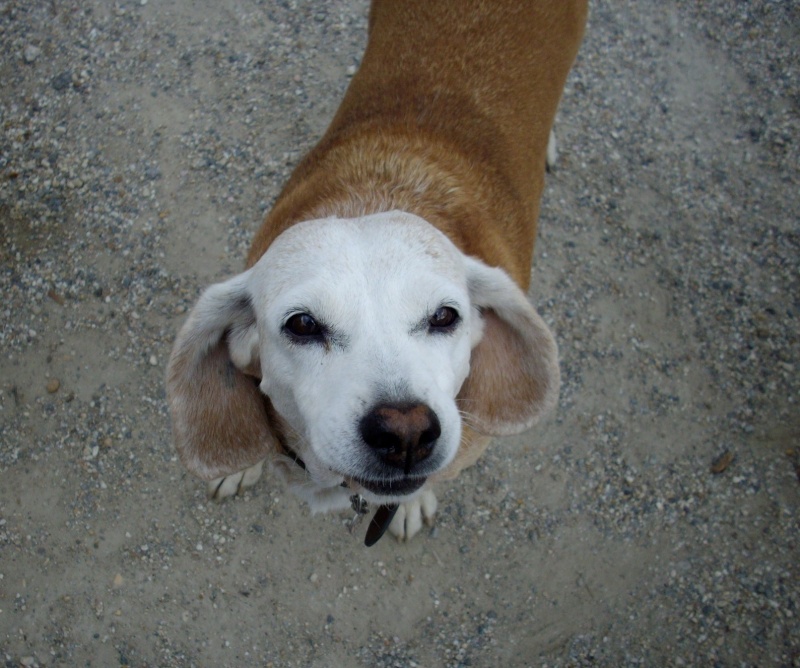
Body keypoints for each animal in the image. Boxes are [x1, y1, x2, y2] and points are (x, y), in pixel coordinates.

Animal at [166, 0, 588, 544]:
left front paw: (409, 504)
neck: (375, 194)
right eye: (302, 324)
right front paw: (241, 462)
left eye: (445, 316)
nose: (406, 431)